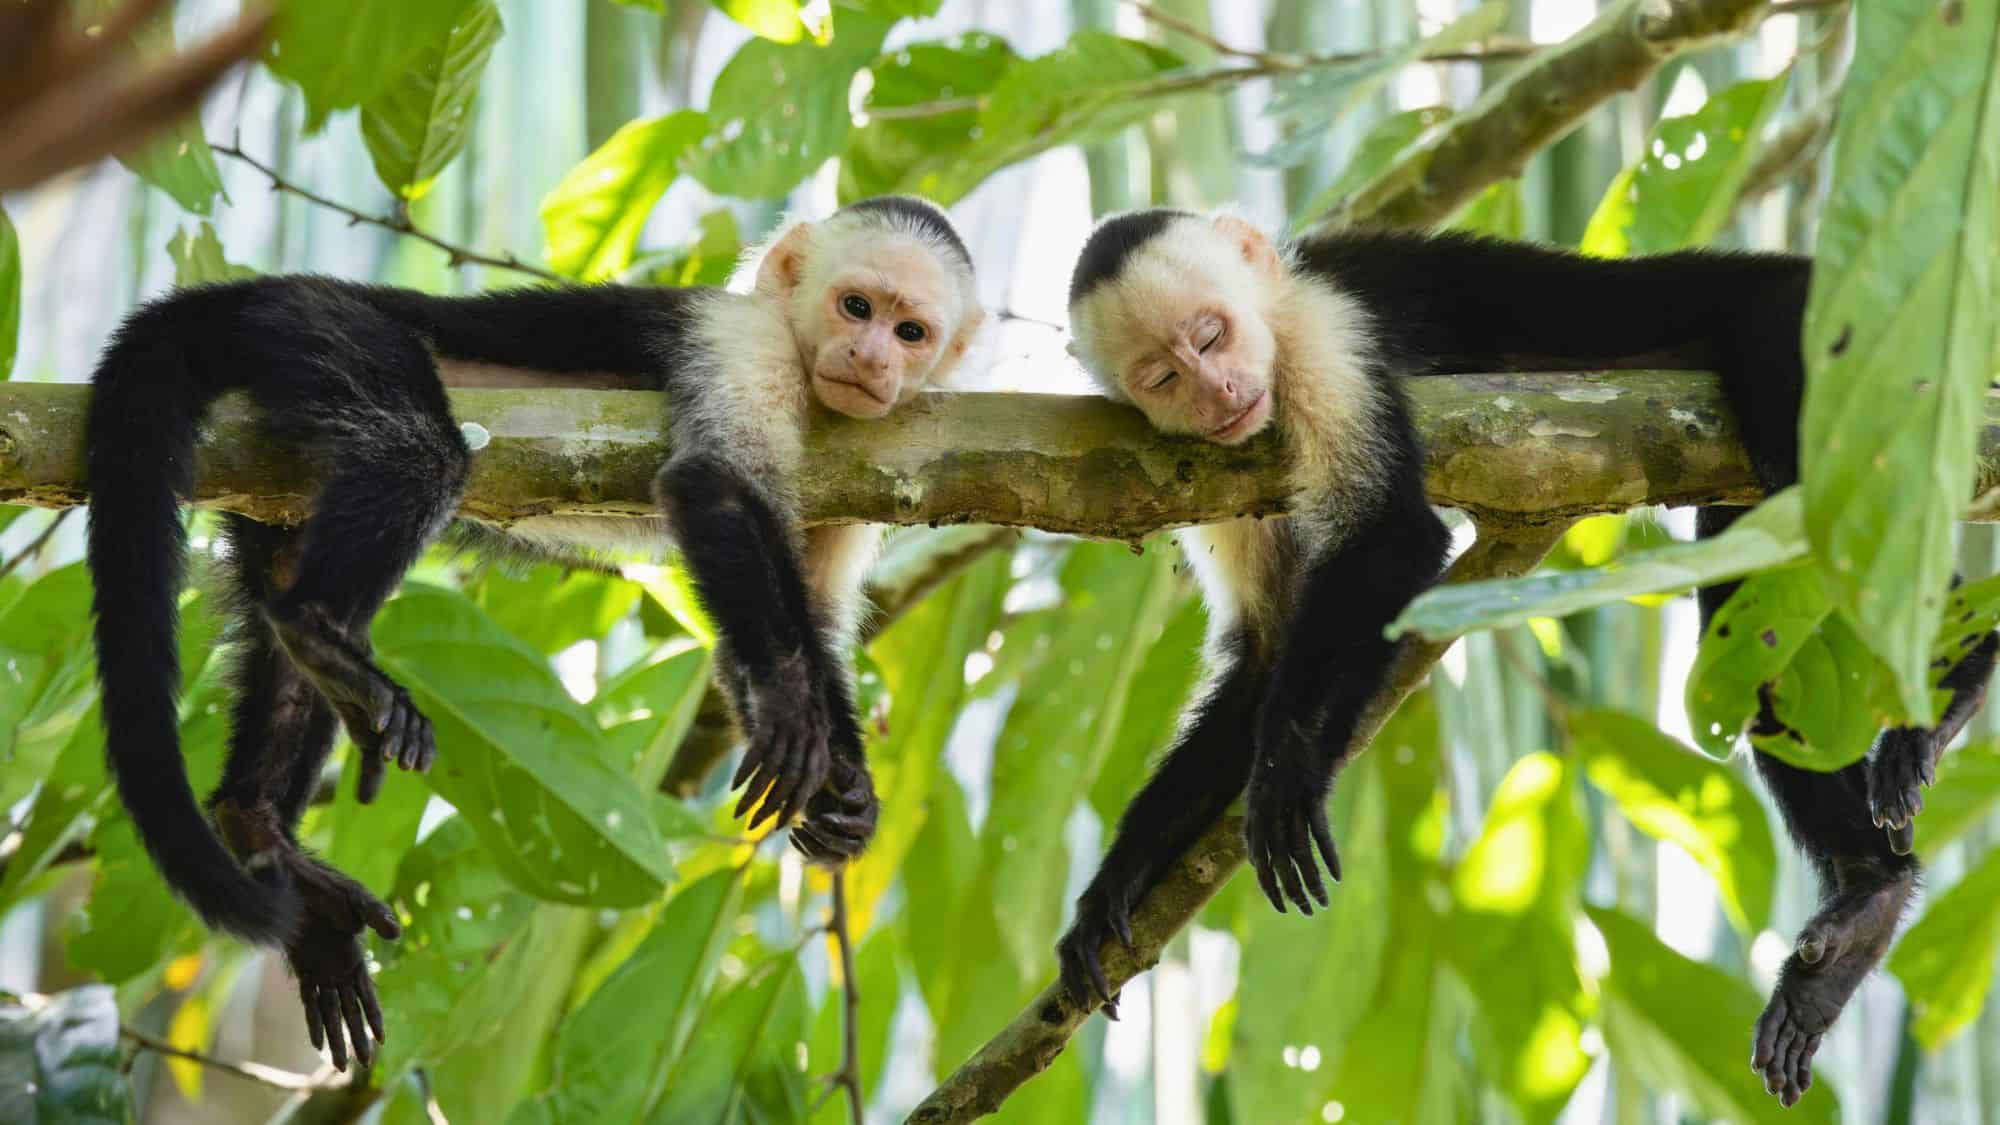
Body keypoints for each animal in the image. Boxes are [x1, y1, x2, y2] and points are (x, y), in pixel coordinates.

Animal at [83, 195, 986, 1071]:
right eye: (855, 306)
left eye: (910, 332)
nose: (869, 357)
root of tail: (268, 288)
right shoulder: (742, 341)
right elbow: (716, 483)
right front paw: (797, 710)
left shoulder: (867, 455)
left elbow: (794, 628)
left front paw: (846, 792)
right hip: (316, 330)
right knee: (418, 448)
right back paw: (322, 633)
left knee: (284, 586)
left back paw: (260, 822)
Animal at [1054, 208, 1997, 1107]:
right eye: (1163, 377)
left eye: (1211, 335)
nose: (1218, 391)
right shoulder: (1217, 471)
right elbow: (1267, 654)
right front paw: (1115, 883)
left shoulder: (1326, 337)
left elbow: (1395, 540)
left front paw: (1291, 764)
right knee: (1748, 592)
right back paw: (1868, 896)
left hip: (1805, 320)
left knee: (1821, 486)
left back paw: (1954, 679)